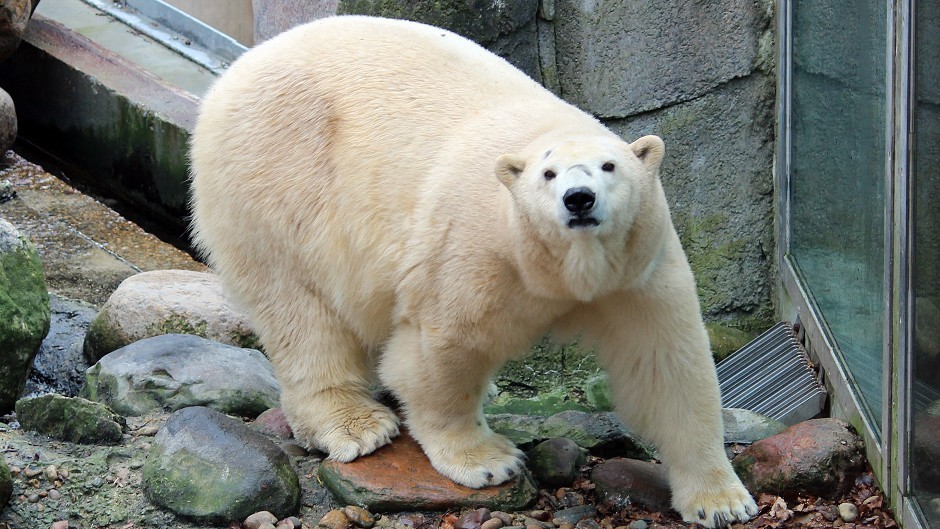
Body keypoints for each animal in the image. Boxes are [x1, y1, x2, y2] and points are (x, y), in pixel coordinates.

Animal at [189, 14, 756, 524]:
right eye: (549, 174)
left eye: (610, 166)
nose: (578, 198)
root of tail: (234, 72)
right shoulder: (476, 248)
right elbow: (442, 349)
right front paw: (488, 460)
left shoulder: (637, 269)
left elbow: (667, 366)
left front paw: (723, 501)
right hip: (278, 180)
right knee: (299, 308)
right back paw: (357, 425)